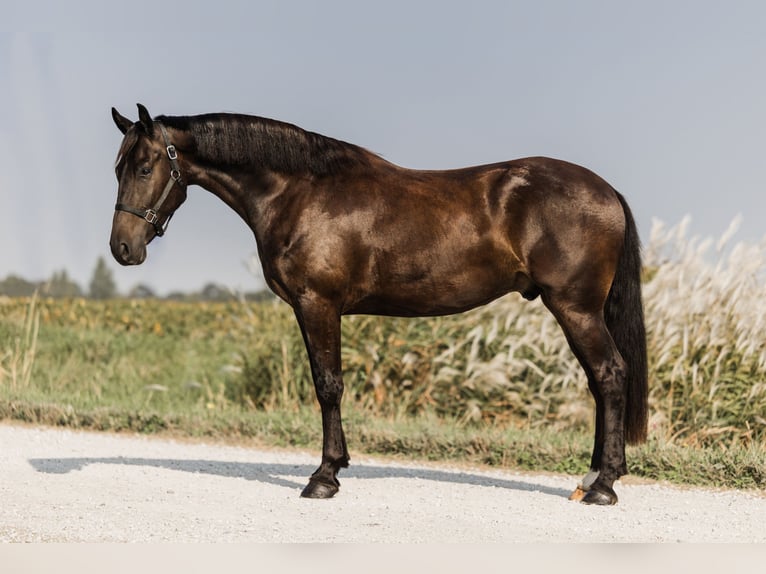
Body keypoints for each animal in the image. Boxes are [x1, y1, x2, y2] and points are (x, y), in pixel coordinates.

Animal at [109, 103, 648, 505]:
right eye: (117, 168)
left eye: (144, 167)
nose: (122, 248)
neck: (300, 193)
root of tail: (606, 191)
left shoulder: (318, 305)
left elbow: (328, 385)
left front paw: (324, 477)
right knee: (599, 382)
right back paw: (591, 477)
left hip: (575, 308)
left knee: (610, 376)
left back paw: (603, 486)